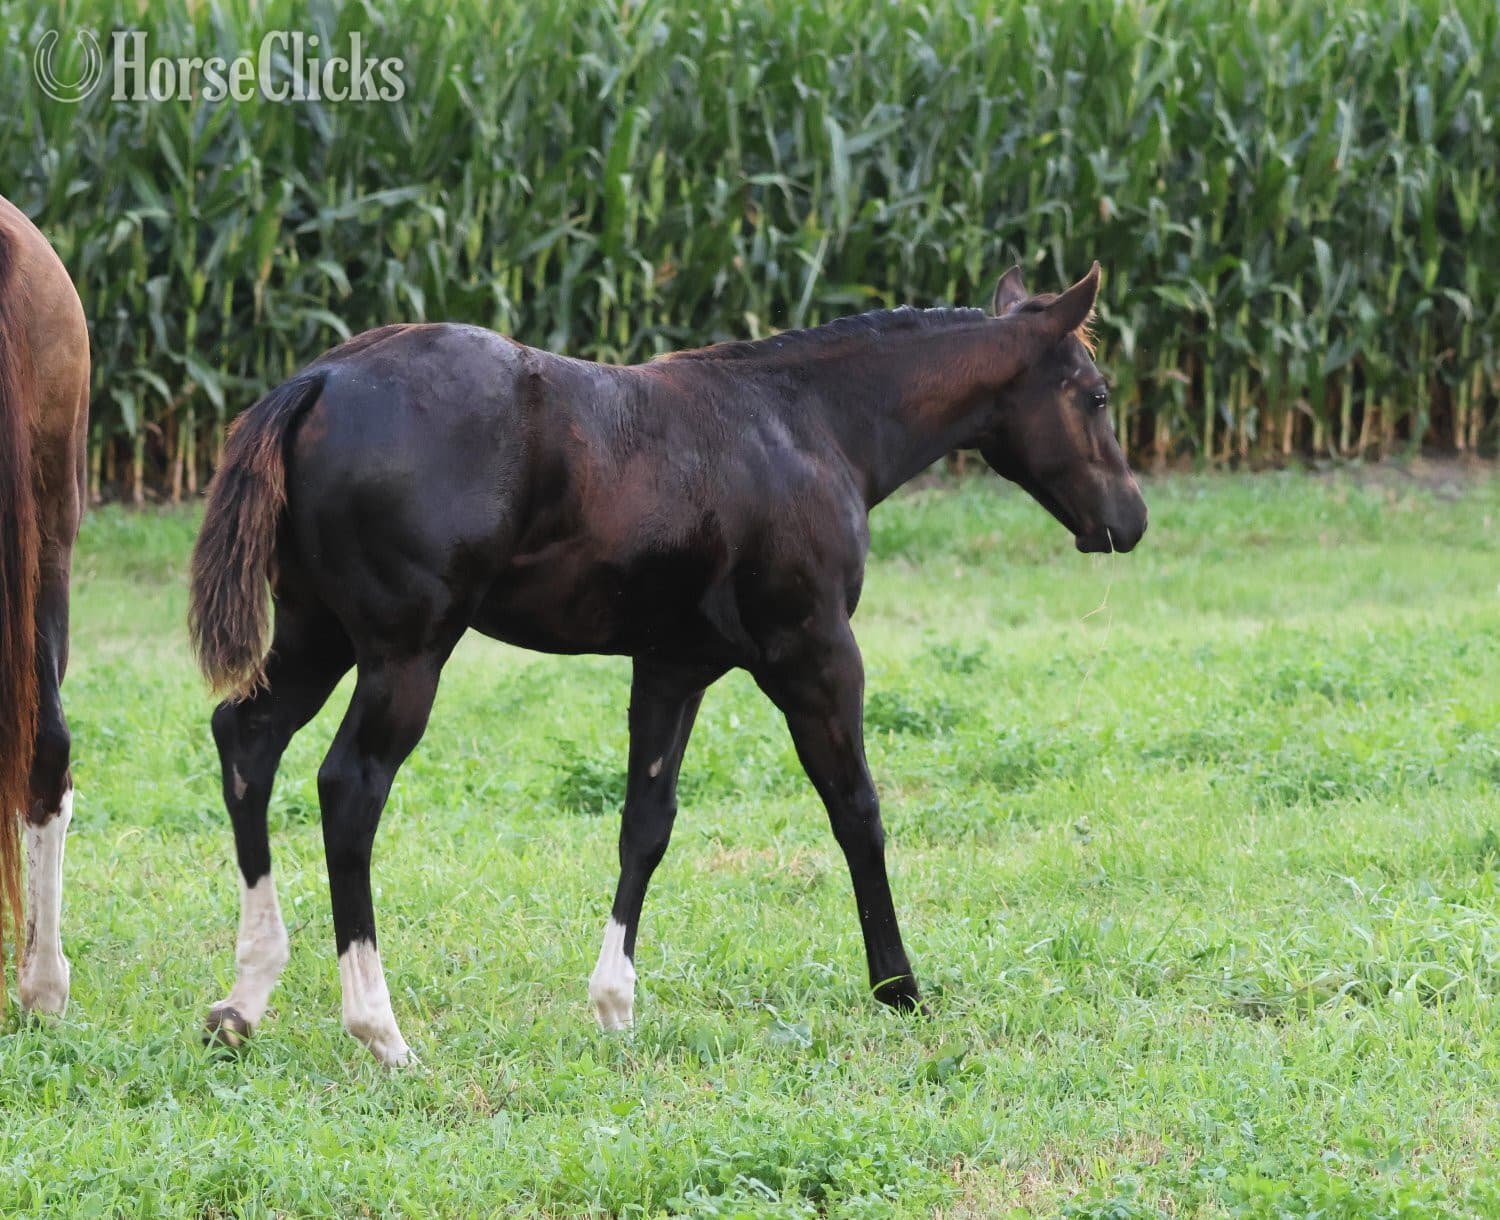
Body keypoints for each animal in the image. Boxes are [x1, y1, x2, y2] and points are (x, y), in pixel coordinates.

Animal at [189, 262, 1146, 1065]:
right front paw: (898, 987)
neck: (807, 425)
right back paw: (380, 1030)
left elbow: (645, 822)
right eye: (1095, 394)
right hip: (406, 652)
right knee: (350, 787)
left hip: (317, 634)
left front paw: (614, 1005)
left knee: (247, 740)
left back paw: (244, 1000)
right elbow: (857, 811)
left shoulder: (673, 666)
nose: (1130, 520)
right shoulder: (815, 654)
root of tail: (321, 381)